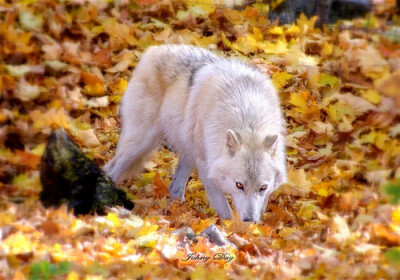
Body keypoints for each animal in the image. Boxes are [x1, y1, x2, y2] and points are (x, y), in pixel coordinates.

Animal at [104, 44, 286, 222]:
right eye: (239, 185)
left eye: (263, 187)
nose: (249, 220)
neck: (247, 115)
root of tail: (153, 50)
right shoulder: (205, 163)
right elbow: (223, 207)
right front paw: (229, 228)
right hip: (143, 143)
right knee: (111, 169)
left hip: (186, 151)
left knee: (174, 188)